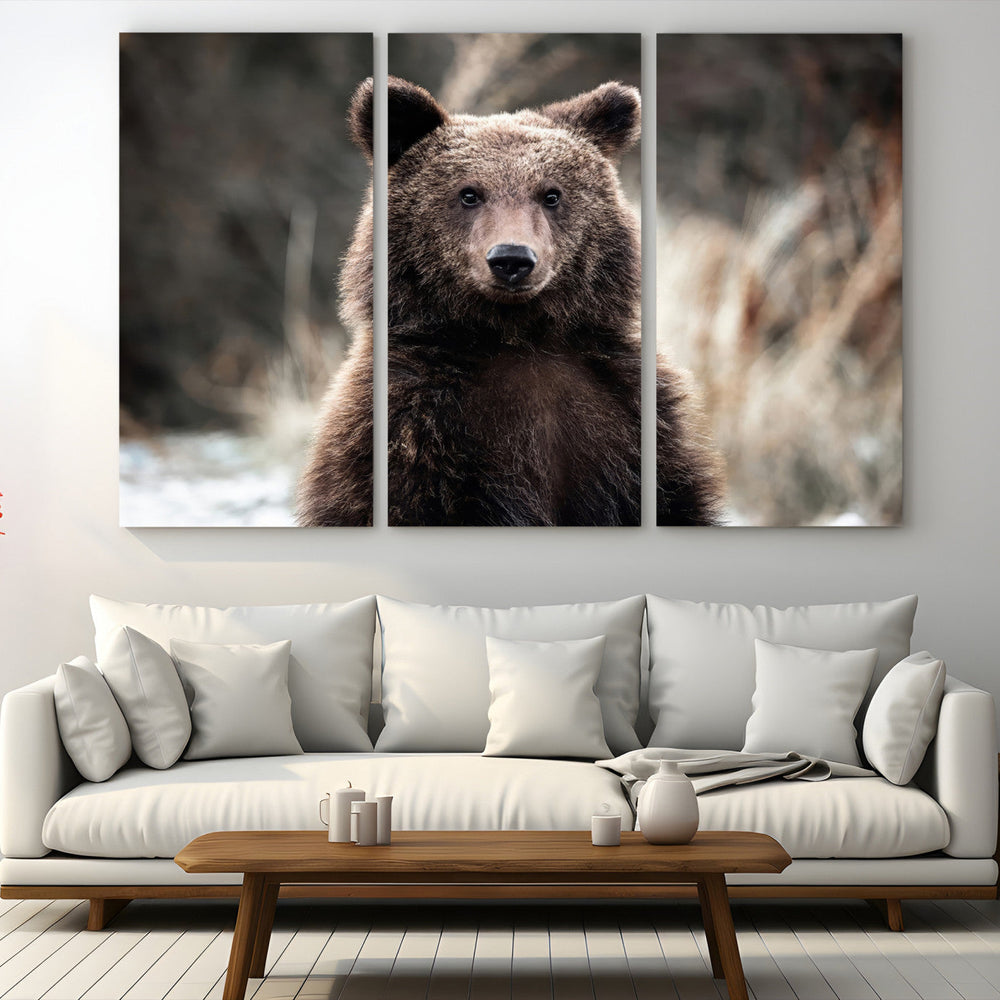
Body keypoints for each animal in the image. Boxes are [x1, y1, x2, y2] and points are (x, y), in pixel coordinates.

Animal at [297, 76, 723, 527]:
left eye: (551, 194)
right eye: (469, 194)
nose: (512, 259)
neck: (517, 335)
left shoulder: (631, 421)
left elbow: (674, 499)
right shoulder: (411, 430)